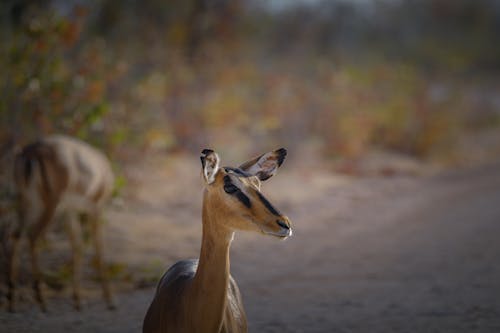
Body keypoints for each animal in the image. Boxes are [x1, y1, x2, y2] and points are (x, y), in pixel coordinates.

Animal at [5, 134, 115, 310]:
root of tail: (31, 152)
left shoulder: (69, 210)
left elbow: (77, 246)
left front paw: (77, 300)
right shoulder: (96, 208)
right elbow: (99, 249)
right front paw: (109, 300)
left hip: (26, 203)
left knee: (14, 236)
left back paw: (11, 299)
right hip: (49, 204)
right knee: (33, 235)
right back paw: (41, 299)